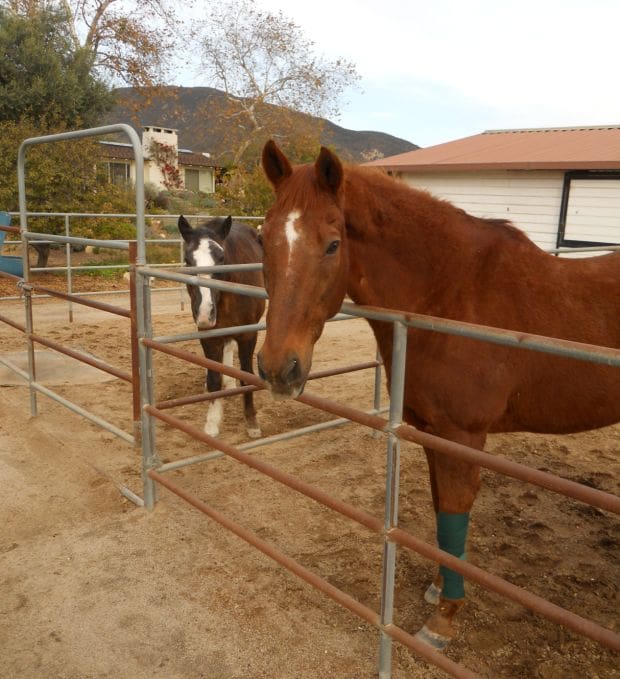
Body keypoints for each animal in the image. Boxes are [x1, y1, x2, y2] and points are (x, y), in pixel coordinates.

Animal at [178, 215, 265, 439]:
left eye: (221, 258)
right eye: (188, 260)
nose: (205, 313)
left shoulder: (248, 334)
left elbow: (246, 377)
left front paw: (251, 422)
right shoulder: (209, 335)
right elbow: (214, 378)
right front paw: (212, 423)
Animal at [256, 140, 620, 649]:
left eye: (332, 244)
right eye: (263, 239)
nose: (277, 368)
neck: (450, 293)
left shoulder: (463, 437)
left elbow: (453, 513)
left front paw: (444, 618)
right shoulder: (432, 432)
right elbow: (441, 515)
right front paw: (438, 586)